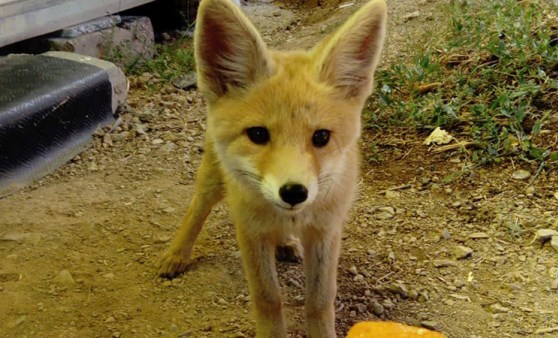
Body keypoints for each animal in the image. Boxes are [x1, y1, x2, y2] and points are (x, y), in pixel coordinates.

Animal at [158, 1, 384, 336]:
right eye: (258, 134)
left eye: (321, 137)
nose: (293, 192)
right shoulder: (250, 231)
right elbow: (267, 298)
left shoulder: (326, 231)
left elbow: (320, 301)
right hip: (211, 181)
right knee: (196, 210)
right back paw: (176, 254)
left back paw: (287, 242)